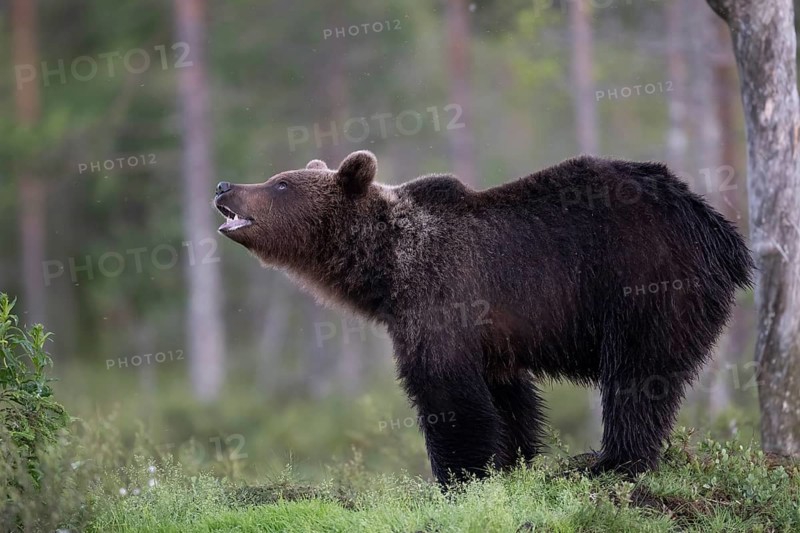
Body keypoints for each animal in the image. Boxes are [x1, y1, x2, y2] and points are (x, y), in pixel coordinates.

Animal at [213, 150, 752, 485]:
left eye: (280, 183)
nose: (223, 185)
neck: (386, 267)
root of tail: (719, 230)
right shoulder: (492, 335)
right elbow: (507, 401)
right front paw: (509, 463)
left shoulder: (440, 297)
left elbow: (448, 395)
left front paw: (455, 476)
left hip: (646, 281)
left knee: (638, 377)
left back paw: (610, 462)